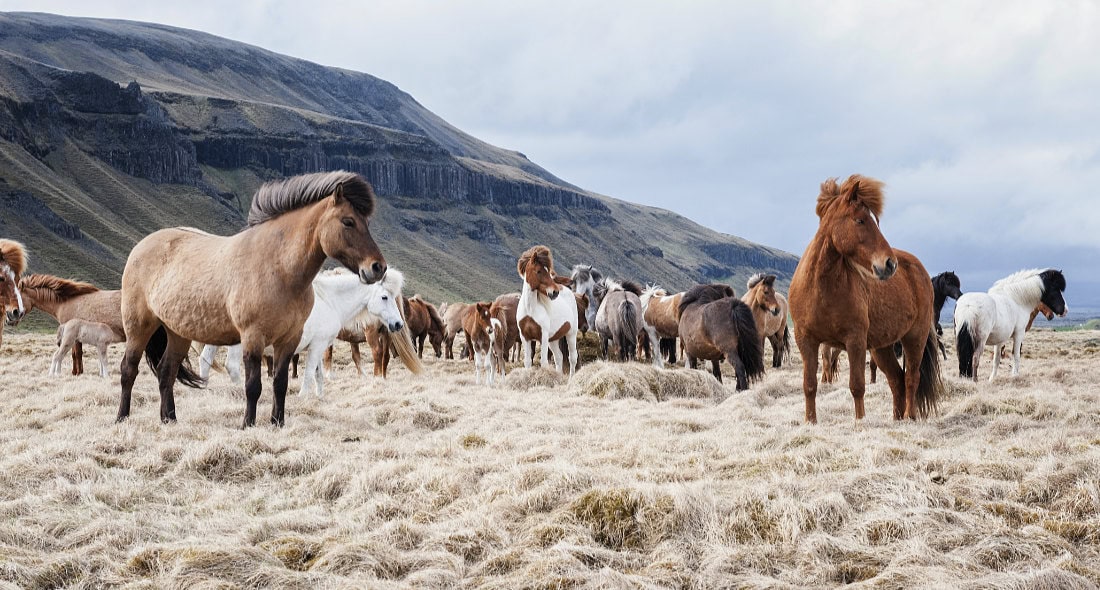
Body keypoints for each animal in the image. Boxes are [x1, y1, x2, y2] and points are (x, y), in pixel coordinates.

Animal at [116, 171, 387, 427]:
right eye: (348, 221)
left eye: (366, 222)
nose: (377, 267)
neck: (278, 268)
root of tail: (140, 247)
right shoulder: (253, 337)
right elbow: (253, 386)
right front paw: (248, 423)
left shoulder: (289, 340)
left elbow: (280, 383)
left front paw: (278, 422)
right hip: (139, 327)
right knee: (129, 369)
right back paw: (122, 417)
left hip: (178, 333)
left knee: (166, 372)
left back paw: (169, 419)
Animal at [517, 245, 579, 374]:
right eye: (538, 271)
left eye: (548, 271)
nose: (555, 292)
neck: (530, 310)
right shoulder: (525, 337)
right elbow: (527, 362)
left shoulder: (543, 336)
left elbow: (544, 362)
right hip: (553, 339)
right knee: (559, 357)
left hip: (571, 333)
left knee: (572, 358)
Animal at [788, 175, 943, 423]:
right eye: (860, 220)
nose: (889, 264)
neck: (821, 290)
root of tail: (919, 269)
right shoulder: (806, 340)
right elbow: (809, 385)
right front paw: (810, 421)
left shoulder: (855, 341)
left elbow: (857, 386)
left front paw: (860, 421)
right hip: (883, 347)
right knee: (896, 380)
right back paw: (897, 418)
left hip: (914, 338)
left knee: (911, 378)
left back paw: (909, 416)